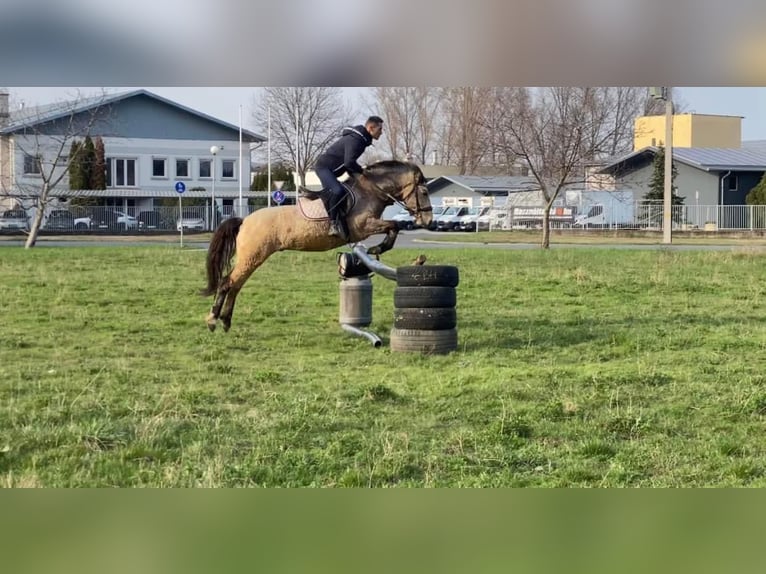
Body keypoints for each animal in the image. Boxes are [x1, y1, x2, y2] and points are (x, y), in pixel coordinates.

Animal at [201, 161, 436, 332]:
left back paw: (225, 321)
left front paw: (376, 249)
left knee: (235, 284)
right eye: (424, 192)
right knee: (227, 282)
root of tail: (244, 221)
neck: (371, 191)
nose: (429, 221)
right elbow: (393, 226)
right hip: (253, 256)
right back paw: (213, 319)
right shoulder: (364, 226)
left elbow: (392, 227)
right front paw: (377, 248)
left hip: (252, 258)